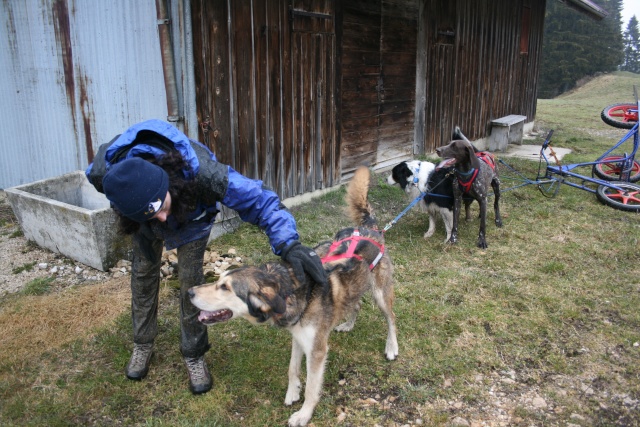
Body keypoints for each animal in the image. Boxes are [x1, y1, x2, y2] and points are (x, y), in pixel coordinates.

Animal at [186, 168, 396, 427]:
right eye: (218, 280)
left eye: (225, 287)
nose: (189, 292)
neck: (290, 292)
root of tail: (371, 229)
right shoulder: (298, 337)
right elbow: (292, 368)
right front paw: (292, 391)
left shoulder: (317, 350)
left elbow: (312, 387)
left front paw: (304, 414)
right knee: (355, 304)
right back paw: (347, 324)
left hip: (381, 294)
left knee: (392, 319)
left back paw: (392, 346)